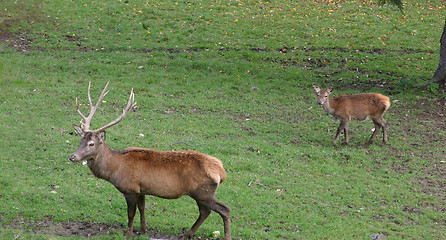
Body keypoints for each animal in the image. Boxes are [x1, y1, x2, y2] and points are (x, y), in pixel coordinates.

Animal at [69, 83, 233, 240]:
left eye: (91, 144)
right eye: (80, 140)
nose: (72, 156)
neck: (114, 168)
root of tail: (221, 171)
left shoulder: (129, 189)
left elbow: (131, 213)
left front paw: (128, 233)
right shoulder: (142, 189)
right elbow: (142, 209)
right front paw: (143, 230)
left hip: (203, 191)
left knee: (223, 209)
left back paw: (225, 236)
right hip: (202, 193)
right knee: (205, 211)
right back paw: (188, 234)